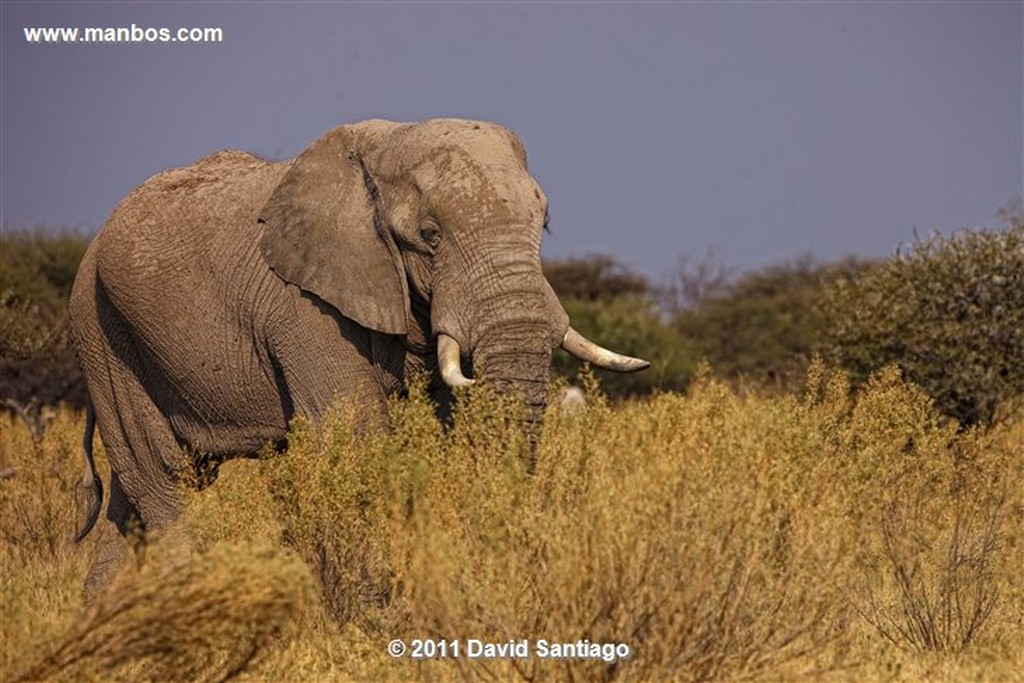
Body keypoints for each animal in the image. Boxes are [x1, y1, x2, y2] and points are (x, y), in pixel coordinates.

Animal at [70, 117, 647, 598]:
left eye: (543, 225)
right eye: (430, 236)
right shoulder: (305, 307)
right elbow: (355, 440)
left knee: (131, 500)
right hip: (102, 333)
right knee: (166, 476)